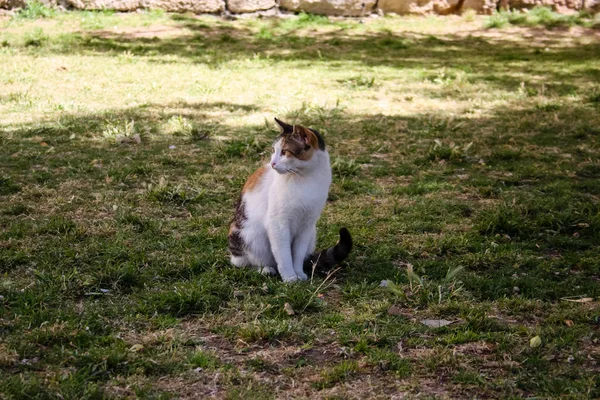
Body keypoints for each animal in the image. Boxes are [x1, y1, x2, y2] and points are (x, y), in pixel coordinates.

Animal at [229, 117, 352, 282]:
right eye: (274, 151)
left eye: (284, 152)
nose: (273, 163)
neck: (305, 178)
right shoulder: (278, 224)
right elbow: (284, 255)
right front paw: (289, 277)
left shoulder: (307, 224)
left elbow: (297, 254)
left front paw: (298, 273)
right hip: (249, 236)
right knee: (243, 262)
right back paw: (265, 269)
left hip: (312, 234)